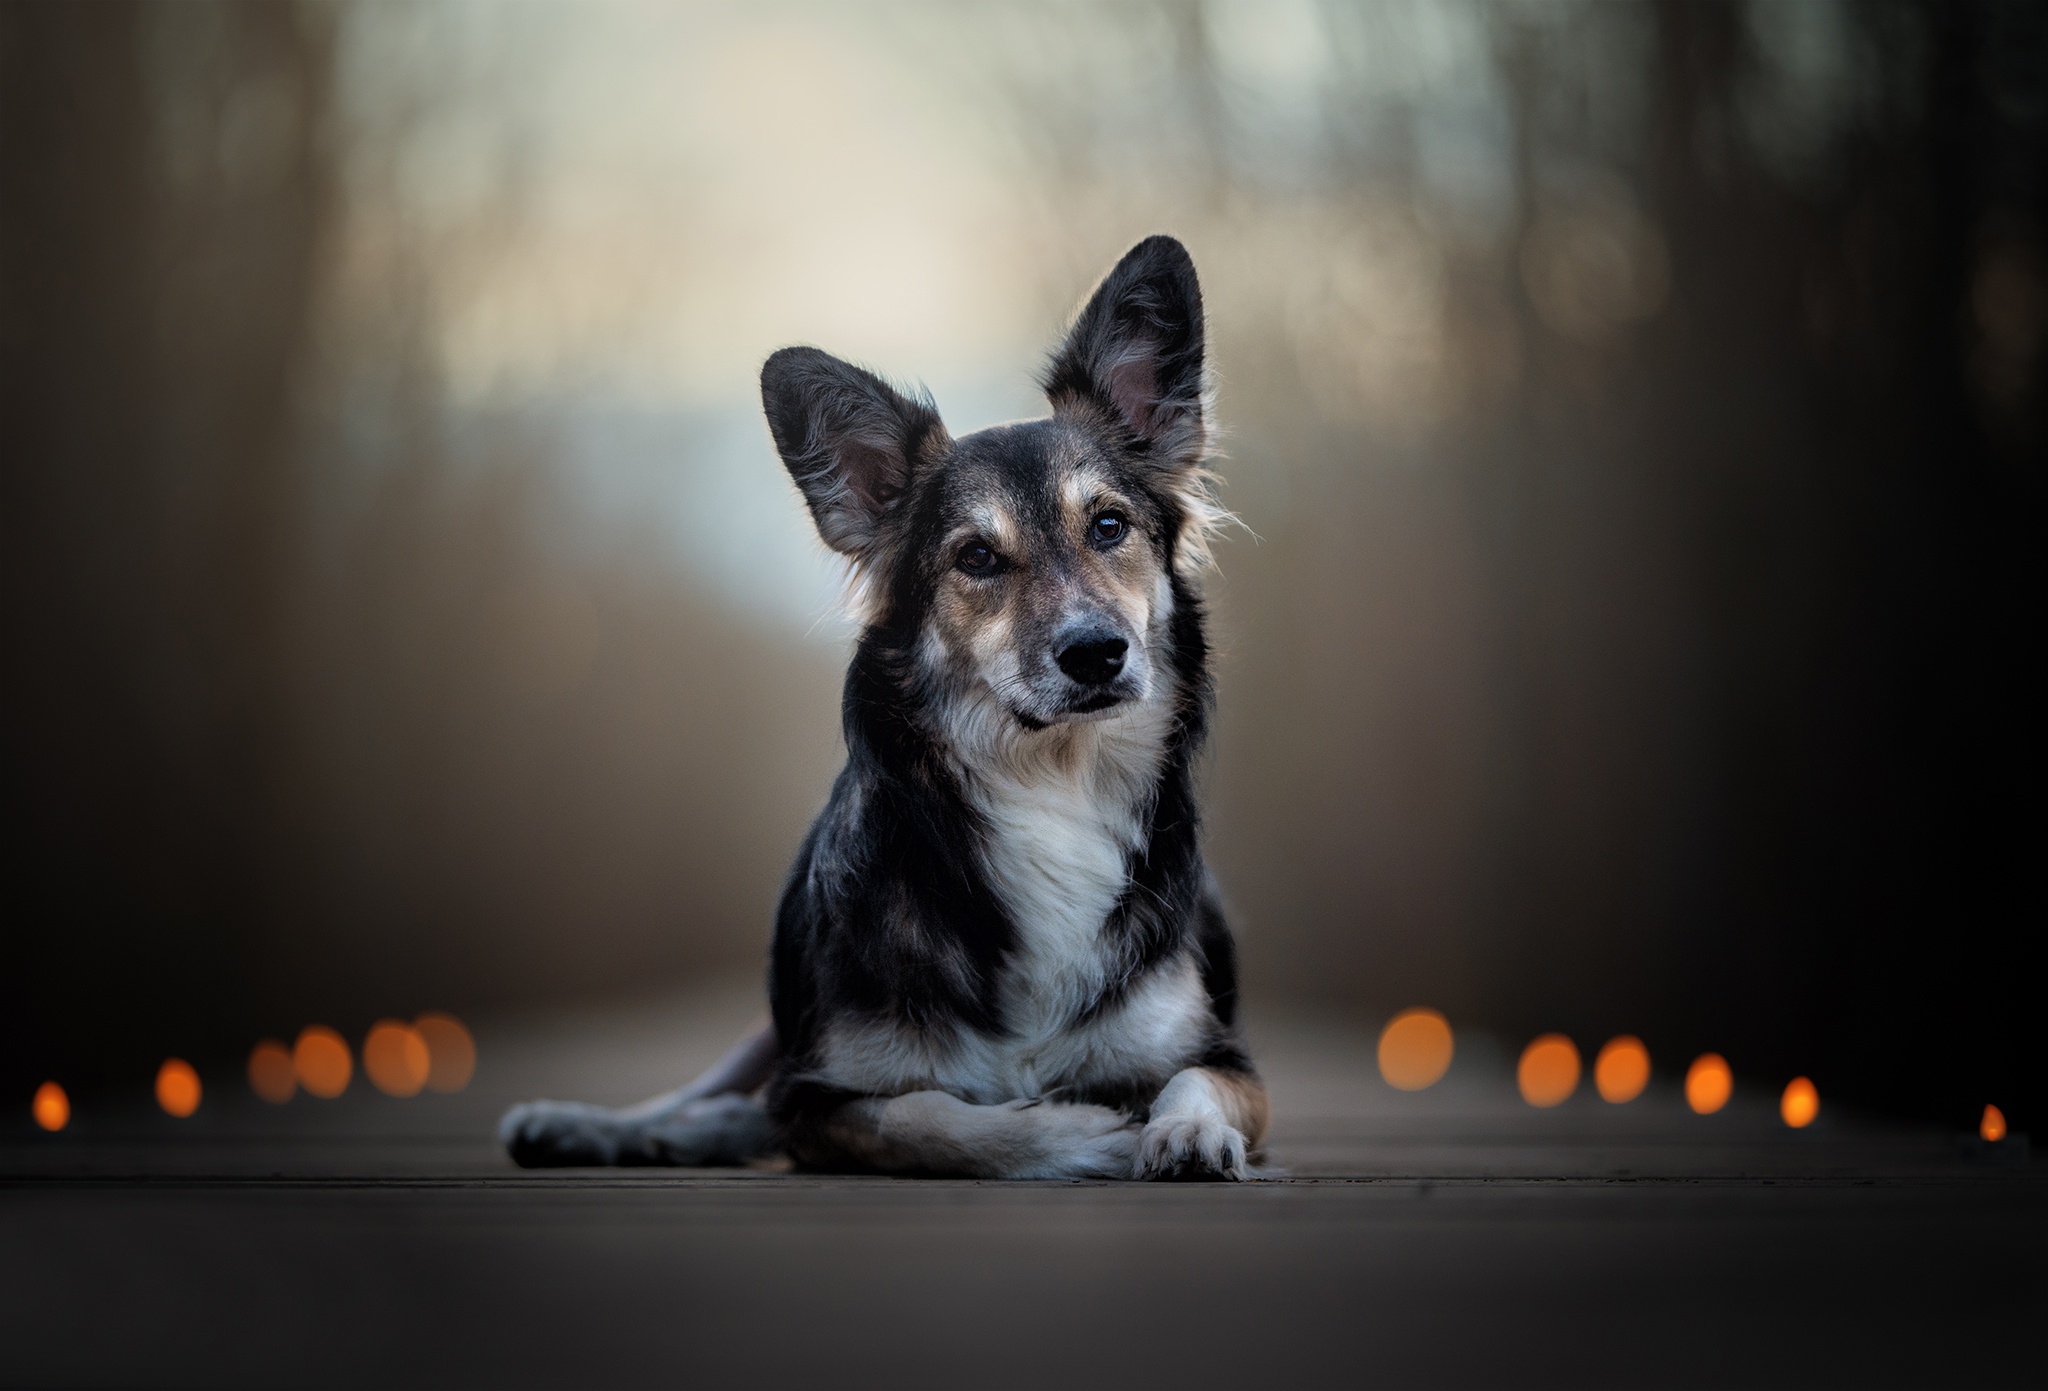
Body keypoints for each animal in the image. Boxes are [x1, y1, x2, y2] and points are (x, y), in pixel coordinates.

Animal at [497, 233, 1261, 1179]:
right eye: (977, 556)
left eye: (1110, 526)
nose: (1095, 652)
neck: (1053, 786)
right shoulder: (820, 1096)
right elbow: (937, 1119)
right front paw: (1082, 1132)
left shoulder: (1226, 1057)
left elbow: (1191, 1079)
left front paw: (1184, 1130)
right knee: (718, 1098)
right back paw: (582, 1122)